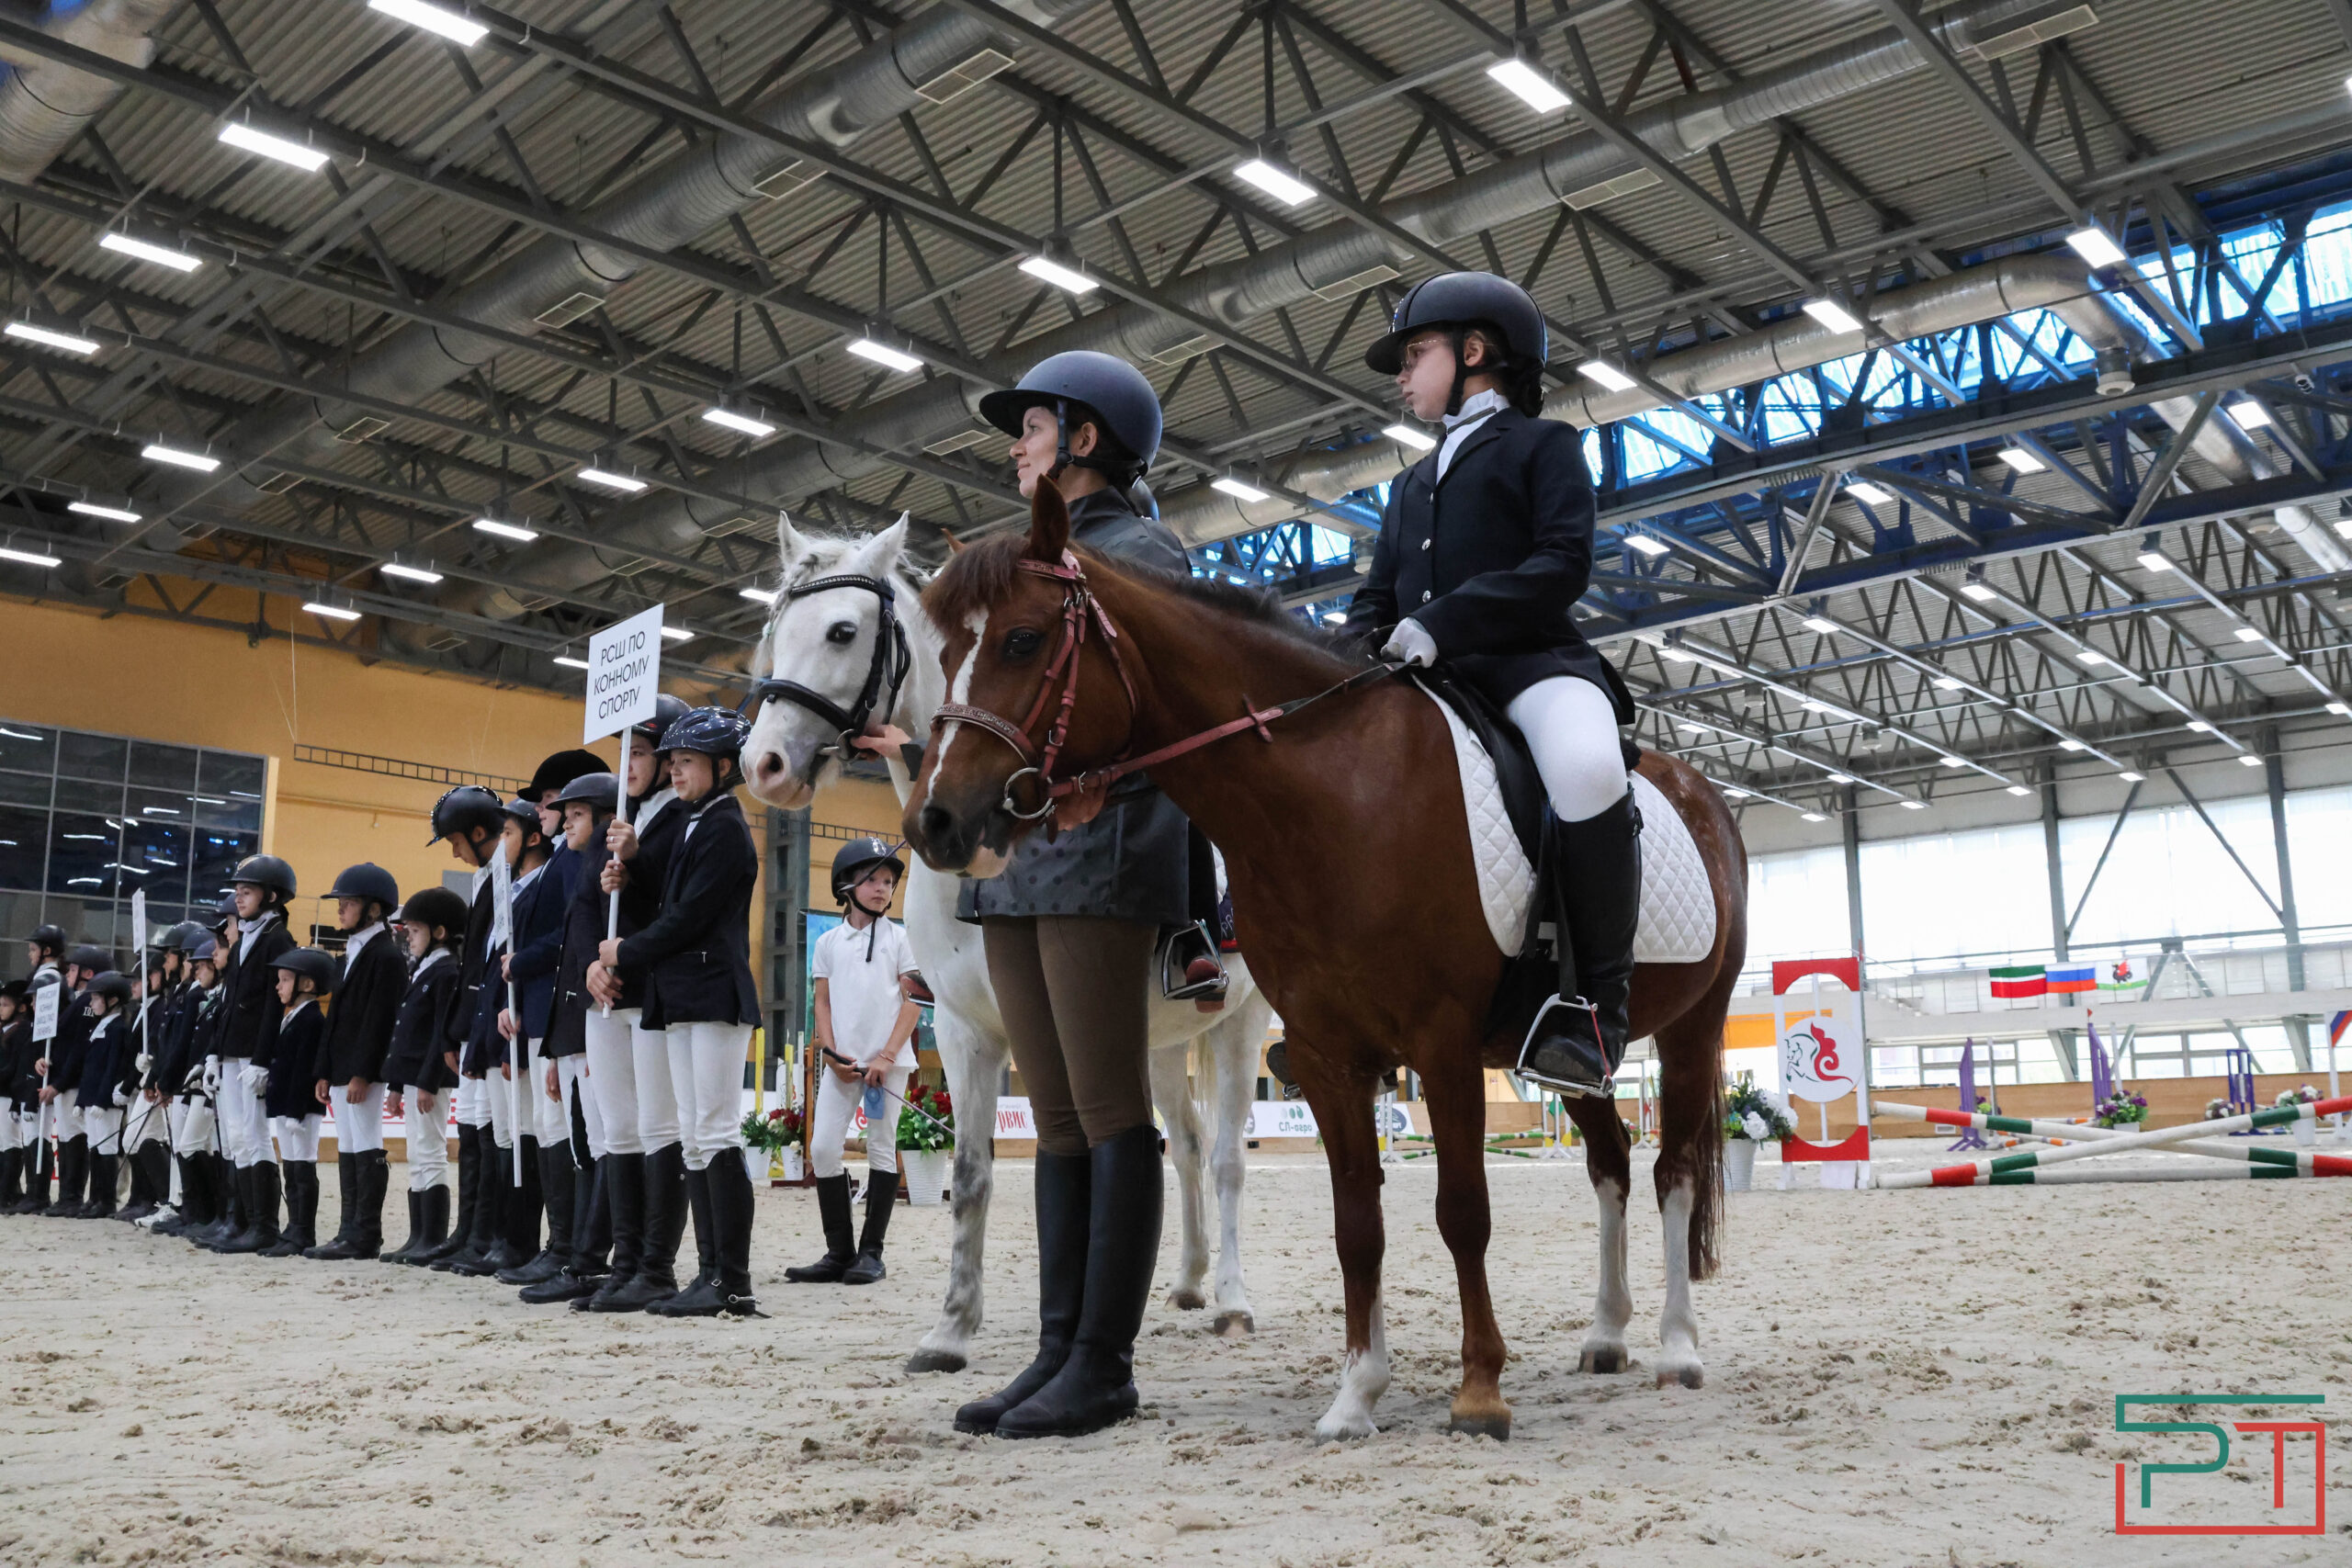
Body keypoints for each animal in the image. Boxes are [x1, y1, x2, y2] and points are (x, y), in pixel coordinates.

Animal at [748, 517, 1270, 1372]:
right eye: (773, 630)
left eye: (842, 631)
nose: (761, 764)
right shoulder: (967, 1029)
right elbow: (973, 1171)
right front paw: (951, 1330)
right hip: (1160, 1039)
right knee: (1189, 1144)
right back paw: (1189, 1281)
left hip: (1239, 1020)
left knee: (1226, 1157)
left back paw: (1230, 1298)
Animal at [903, 481, 1749, 1448]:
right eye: (941, 652)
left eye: (1022, 639)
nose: (933, 821)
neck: (1334, 791)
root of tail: (1705, 790)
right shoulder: (1325, 1050)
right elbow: (1357, 1222)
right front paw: (1357, 1395)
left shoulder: (1442, 1045)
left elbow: (1462, 1212)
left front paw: (1479, 1391)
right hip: (1574, 1059)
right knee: (1609, 1166)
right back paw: (1607, 1335)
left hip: (1692, 1030)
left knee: (1673, 1171)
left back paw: (1677, 1347)